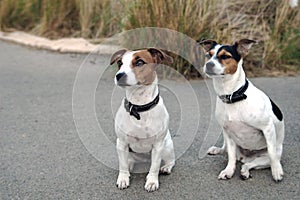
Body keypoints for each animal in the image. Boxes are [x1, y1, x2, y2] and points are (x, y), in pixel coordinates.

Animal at [110, 47, 176, 191]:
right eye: (120, 63)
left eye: (140, 62)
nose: (119, 75)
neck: (138, 106)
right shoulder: (121, 143)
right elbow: (123, 165)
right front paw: (123, 179)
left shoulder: (158, 145)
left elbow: (154, 167)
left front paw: (152, 181)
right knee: (128, 161)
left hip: (167, 147)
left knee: (170, 161)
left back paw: (166, 168)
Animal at [199, 38, 284, 181]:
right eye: (208, 55)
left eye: (225, 56)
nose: (209, 65)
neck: (232, 96)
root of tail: (245, 157)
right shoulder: (228, 132)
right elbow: (231, 157)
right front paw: (228, 171)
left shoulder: (267, 127)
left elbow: (272, 154)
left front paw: (276, 171)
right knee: (229, 151)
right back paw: (219, 150)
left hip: (265, 158)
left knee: (252, 163)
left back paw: (246, 171)